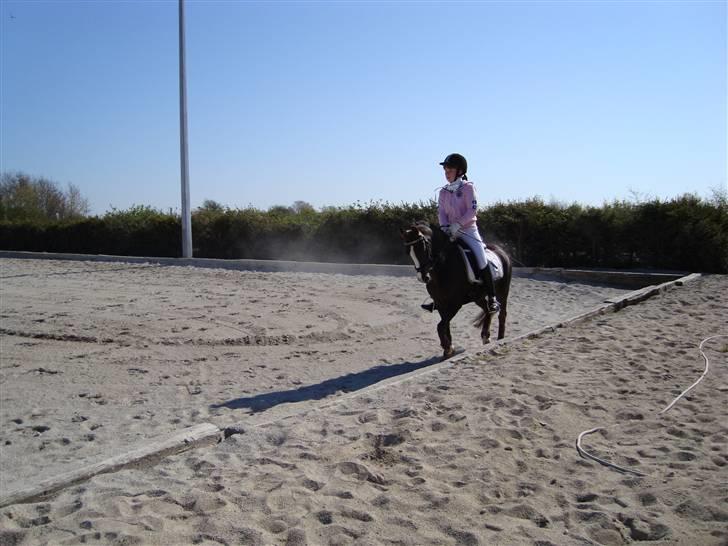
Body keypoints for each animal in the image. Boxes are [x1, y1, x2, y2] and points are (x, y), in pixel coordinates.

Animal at [400, 219, 516, 360]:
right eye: (408, 251)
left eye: (423, 247)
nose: (423, 277)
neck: (443, 267)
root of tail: (502, 251)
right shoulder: (441, 303)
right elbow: (445, 325)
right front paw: (448, 349)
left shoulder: (455, 304)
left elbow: (440, 326)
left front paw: (447, 348)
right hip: (478, 297)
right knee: (488, 310)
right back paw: (485, 336)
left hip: (503, 292)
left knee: (501, 313)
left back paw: (500, 339)